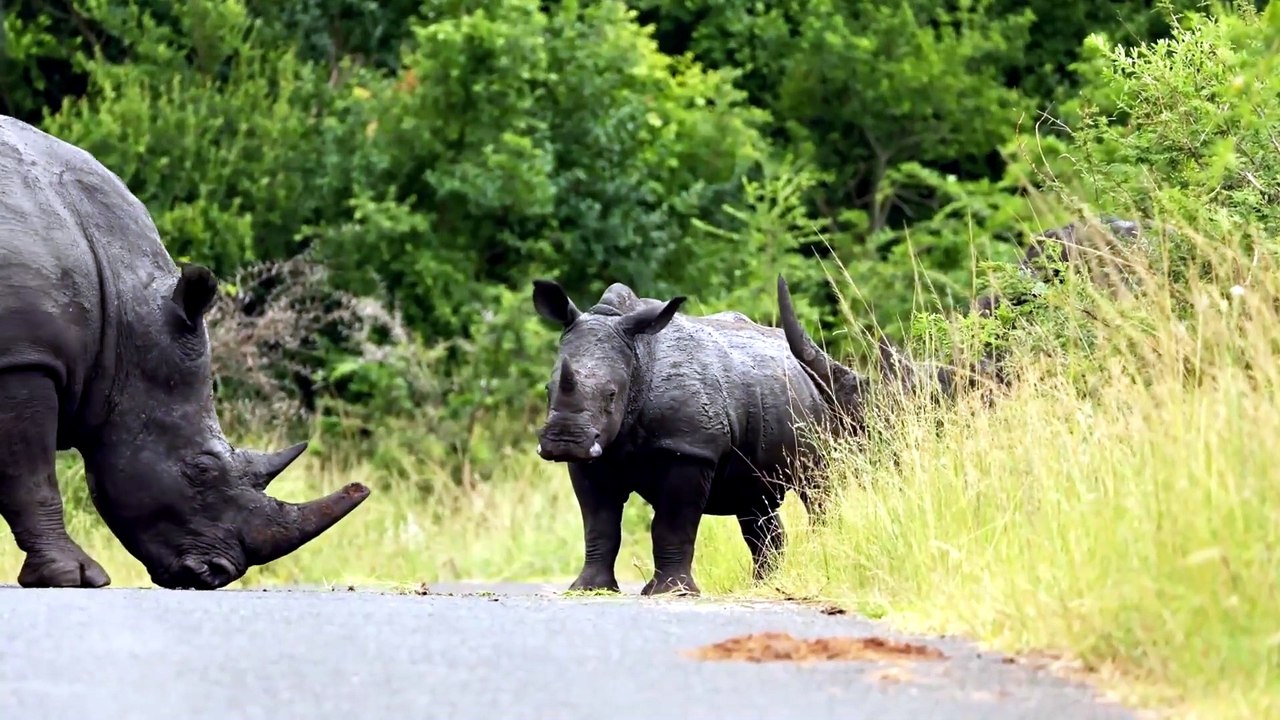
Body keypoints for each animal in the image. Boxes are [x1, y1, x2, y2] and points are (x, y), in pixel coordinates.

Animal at [530, 277, 869, 596]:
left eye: (611, 395)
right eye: (548, 389)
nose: (564, 442)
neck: (638, 357)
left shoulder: (689, 450)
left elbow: (672, 524)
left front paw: (672, 592)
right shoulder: (596, 456)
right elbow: (600, 525)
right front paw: (588, 589)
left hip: (822, 411)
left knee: (817, 488)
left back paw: (822, 553)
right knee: (754, 501)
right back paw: (762, 585)